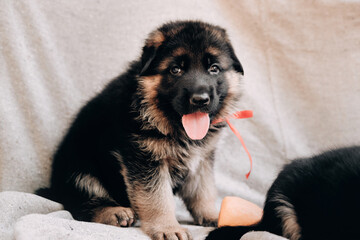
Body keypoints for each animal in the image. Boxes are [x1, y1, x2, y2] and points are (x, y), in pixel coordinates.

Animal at [36, 21, 245, 240]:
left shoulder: (201, 159)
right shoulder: (145, 160)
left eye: (214, 69)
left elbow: (204, 191)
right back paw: (114, 213)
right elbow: (157, 197)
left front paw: (213, 215)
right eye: (175, 70)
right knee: (80, 204)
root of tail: (55, 188)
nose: (200, 100)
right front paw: (168, 227)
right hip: (80, 169)